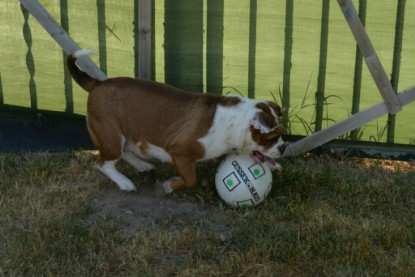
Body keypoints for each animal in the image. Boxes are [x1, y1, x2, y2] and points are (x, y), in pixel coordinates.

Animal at [67, 49, 286, 192]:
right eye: (271, 138)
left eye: (282, 134)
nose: (283, 147)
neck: (235, 123)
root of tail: (98, 84)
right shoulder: (180, 153)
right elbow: (191, 179)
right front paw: (170, 185)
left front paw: (274, 166)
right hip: (111, 135)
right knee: (103, 163)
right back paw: (124, 183)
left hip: (121, 135)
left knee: (125, 152)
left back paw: (141, 166)